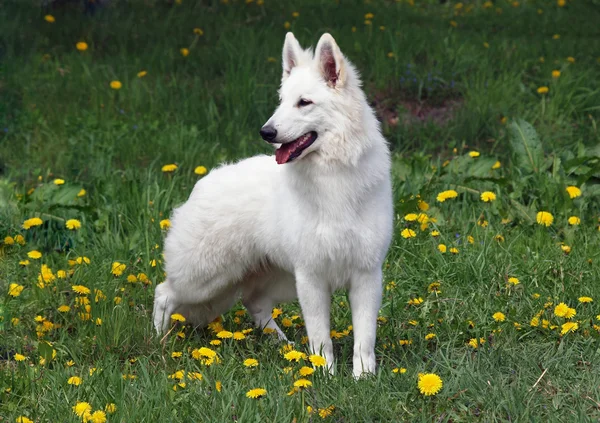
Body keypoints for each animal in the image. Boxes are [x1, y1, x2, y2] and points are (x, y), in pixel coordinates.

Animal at [152, 32, 392, 378]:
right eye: (281, 101)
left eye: (304, 102)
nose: (266, 132)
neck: (332, 177)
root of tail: (202, 184)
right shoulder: (311, 278)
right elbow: (321, 336)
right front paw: (324, 373)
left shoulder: (366, 276)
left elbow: (364, 338)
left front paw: (362, 379)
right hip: (205, 279)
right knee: (164, 293)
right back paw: (160, 341)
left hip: (275, 279)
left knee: (254, 303)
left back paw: (283, 345)